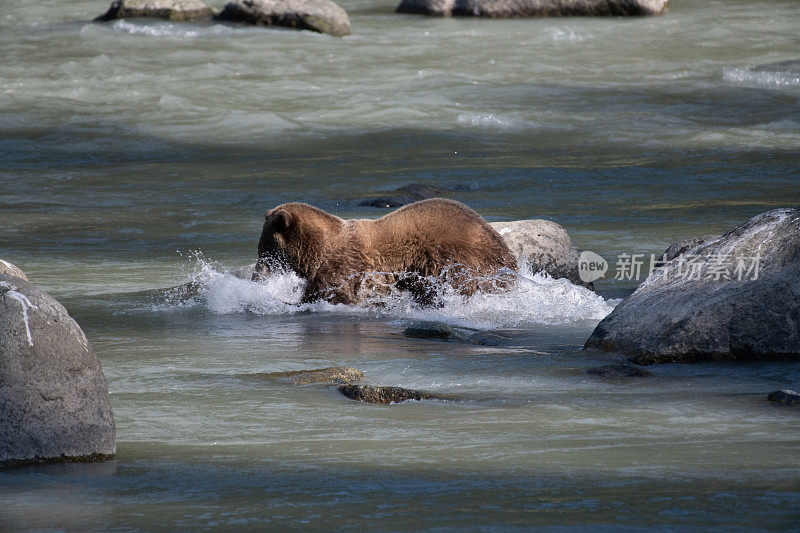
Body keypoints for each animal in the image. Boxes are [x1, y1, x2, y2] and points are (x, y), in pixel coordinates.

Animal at [253, 196, 520, 304]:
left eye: (264, 250)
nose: (256, 275)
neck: (316, 251)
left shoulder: (346, 266)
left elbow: (334, 293)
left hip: (457, 258)